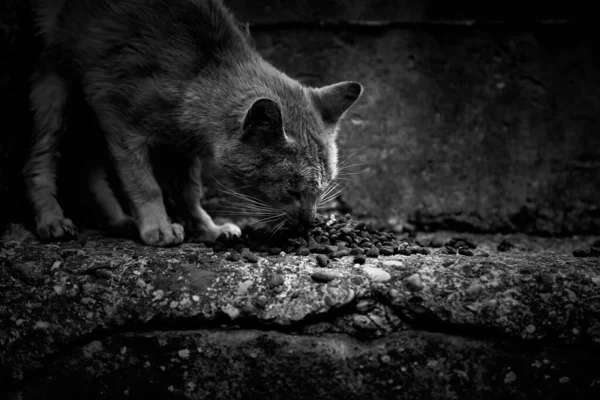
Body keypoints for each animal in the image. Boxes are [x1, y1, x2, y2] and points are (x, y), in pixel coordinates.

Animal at [22, 0, 360, 247]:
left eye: (323, 188)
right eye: (291, 191)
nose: (308, 224)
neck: (196, 73)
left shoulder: (182, 147)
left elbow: (189, 192)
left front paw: (207, 228)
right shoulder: (119, 124)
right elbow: (144, 184)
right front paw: (157, 226)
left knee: (85, 167)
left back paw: (118, 221)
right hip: (54, 88)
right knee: (40, 160)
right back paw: (52, 220)